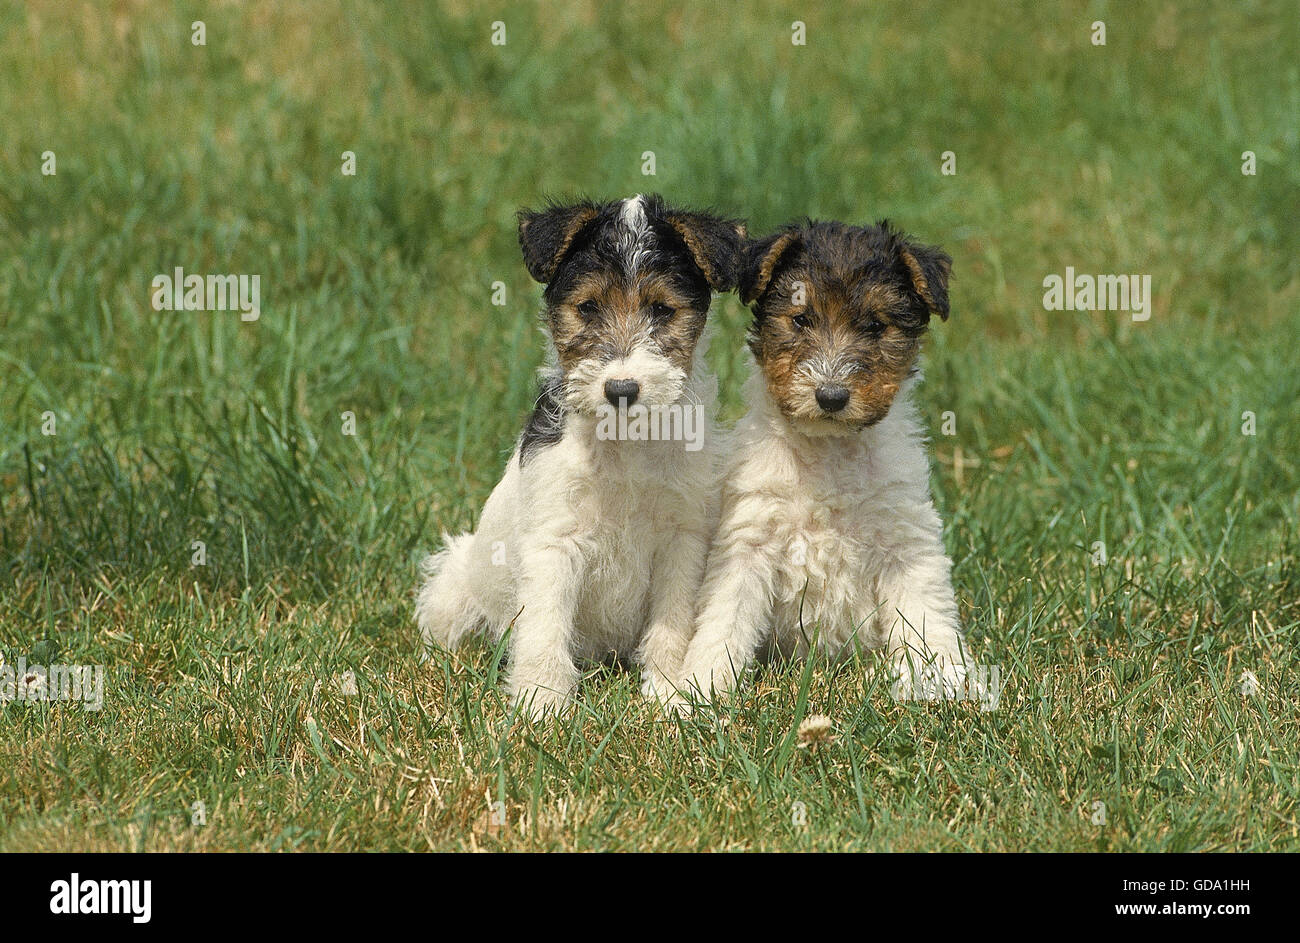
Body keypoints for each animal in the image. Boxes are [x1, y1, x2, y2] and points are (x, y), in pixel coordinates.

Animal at [416, 195, 743, 717]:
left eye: (662, 309)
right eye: (588, 307)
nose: (622, 389)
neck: (624, 445)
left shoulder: (683, 538)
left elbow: (672, 624)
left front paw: (668, 693)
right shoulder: (554, 540)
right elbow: (545, 628)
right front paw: (542, 703)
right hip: (457, 579)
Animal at [676, 221, 972, 702]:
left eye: (874, 325)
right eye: (801, 319)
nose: (831, 396)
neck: (830, 450)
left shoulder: (906, 538)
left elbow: (927, 612)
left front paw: (947, 678)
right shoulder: (749, 538)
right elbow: (723, 619)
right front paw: (696, 689)